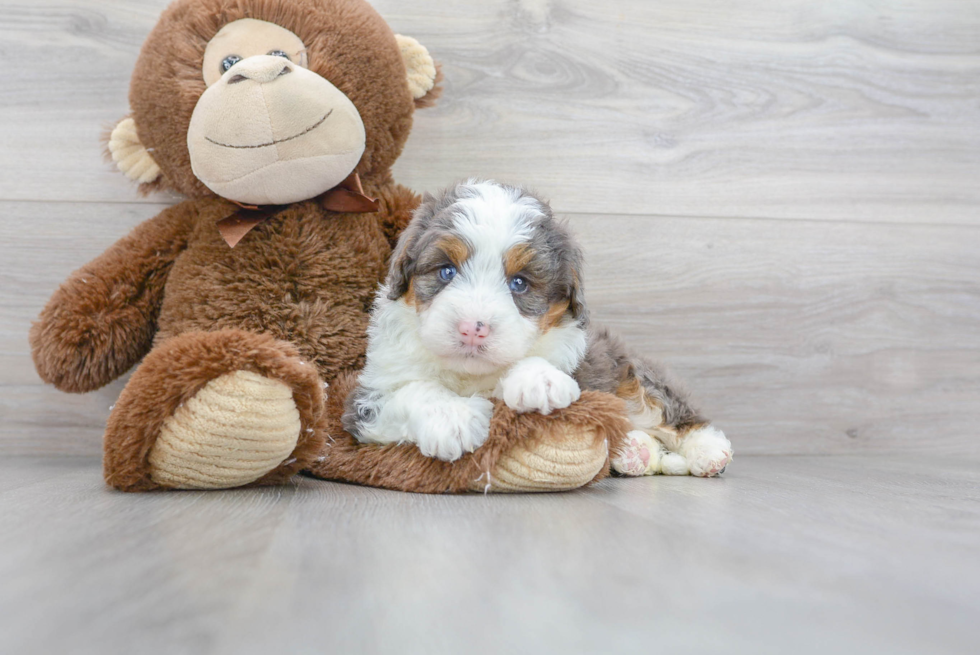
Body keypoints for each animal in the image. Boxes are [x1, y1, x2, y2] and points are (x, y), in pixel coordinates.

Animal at [344, 179, 736, 476]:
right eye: (446, 271)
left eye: (519, 283)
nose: (473, 328)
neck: (471, 376)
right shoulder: (364, 405)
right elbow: (415, 390)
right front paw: (452, 417)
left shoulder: (583, 368)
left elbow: (547, 364)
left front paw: (538, 380)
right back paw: (634, 453)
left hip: (633, 374)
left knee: (672, 413)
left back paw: (707, 451)